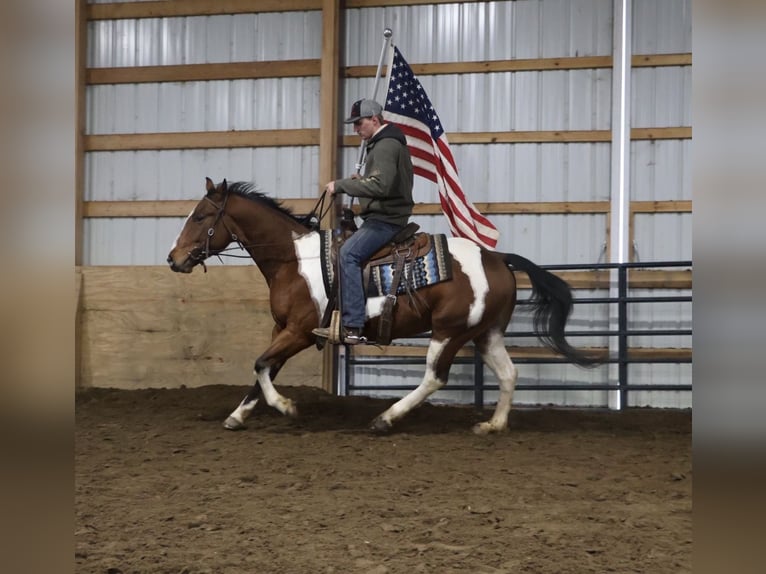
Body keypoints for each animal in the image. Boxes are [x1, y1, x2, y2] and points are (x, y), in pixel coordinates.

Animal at [167, 178, 597, 434]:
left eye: (201, 216)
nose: (174, 259)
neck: (295, 259)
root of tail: (499, 258)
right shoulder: (283, 329)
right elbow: (265, 368)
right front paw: (238, 415)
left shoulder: (300, 332)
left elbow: (260, 364)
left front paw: (286, 407)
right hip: (485, 333)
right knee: (509, 373)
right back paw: (493, 425)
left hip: (450, 332)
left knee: (434, 377)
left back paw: (386, 418)